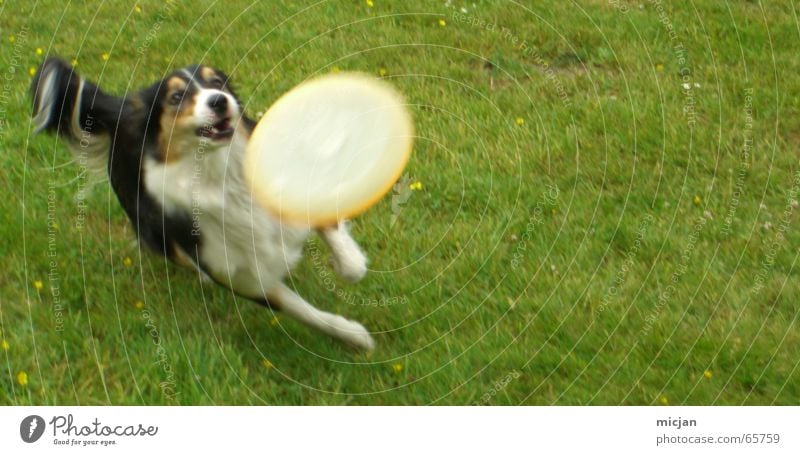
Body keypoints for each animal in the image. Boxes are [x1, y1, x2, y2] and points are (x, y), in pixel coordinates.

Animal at [30, 58, 376, 350]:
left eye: (218, 82)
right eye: (176, 97)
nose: (219, 100)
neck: (221, 175)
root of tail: (125, 110)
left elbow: (344, 253)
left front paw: (346, 266)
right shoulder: (243, 276)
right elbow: (299, 309)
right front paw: (354, 335)